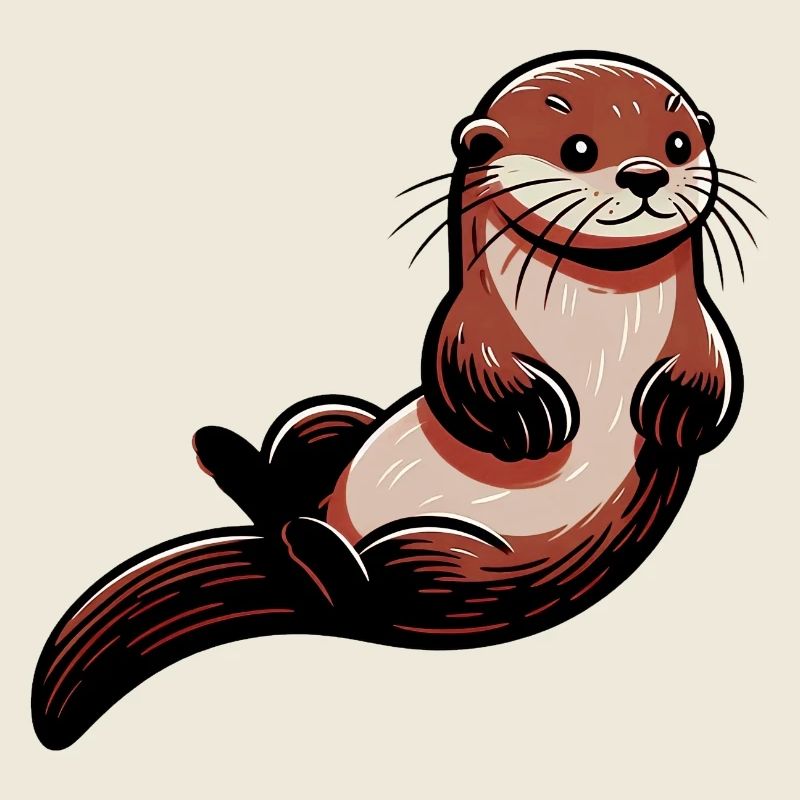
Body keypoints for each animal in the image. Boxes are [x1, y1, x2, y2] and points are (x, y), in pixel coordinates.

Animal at [32, 51, 758, 750]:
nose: (645, 175)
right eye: (578, 148)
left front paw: (678, 415)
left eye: (677, 143)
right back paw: (246, 470)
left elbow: (712, 369)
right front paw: (532, 417)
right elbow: (465, 367)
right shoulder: (471, 319)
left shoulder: (697, 324)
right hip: (356, 462)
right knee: (327, 535)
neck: (600, 323)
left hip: (465, 567)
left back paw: (299, 525)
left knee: (360, 587)